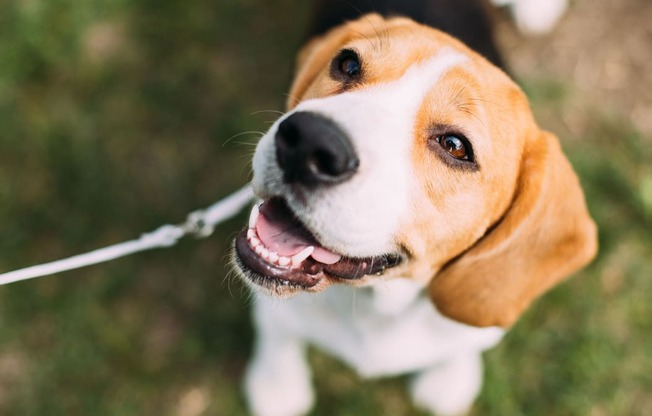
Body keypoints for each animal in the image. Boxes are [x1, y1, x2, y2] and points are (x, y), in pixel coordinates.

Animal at [233, 1, 596, 414]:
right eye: (348, 65)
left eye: (455, 146)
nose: (308, 141)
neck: (378, 305)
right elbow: (278, 329)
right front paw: (277, 384)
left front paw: (450, 378)